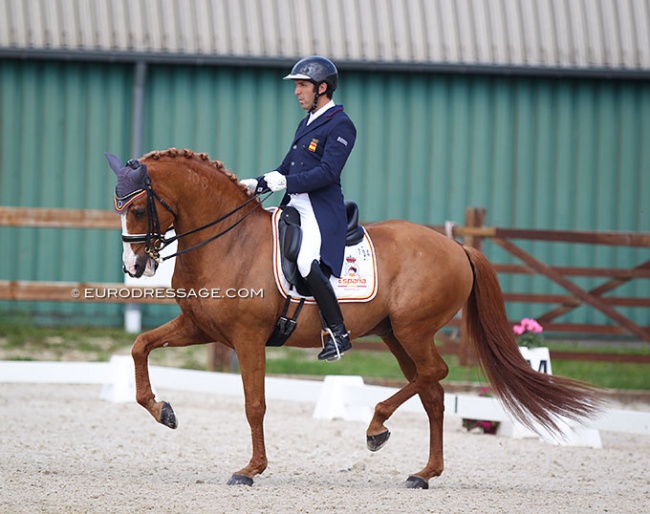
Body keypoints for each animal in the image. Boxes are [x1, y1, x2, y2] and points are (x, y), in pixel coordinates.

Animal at [109, 147, 600, 488]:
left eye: (138, 208)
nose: (133, 267)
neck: (229, 242)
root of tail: (457, 246)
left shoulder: (248, 339)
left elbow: (254, 405)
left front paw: (250, 469)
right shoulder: (200, 328)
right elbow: (140, 346)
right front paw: (162, 411)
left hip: (413, 329)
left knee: (434, 374)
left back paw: (377, 426)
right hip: (396, 336)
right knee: (432, 391)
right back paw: (424, 472)